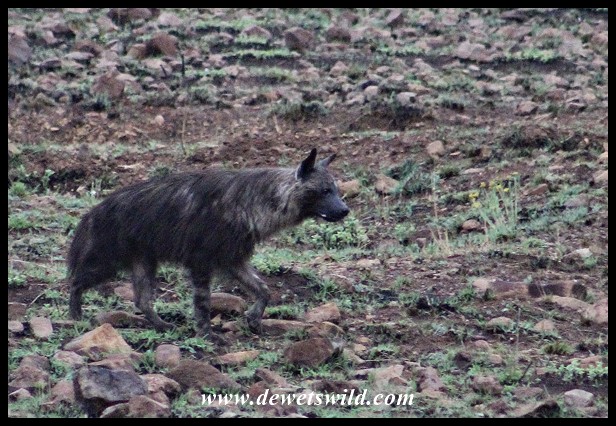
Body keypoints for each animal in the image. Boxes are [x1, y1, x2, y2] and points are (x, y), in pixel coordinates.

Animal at [67, 148, 349, 342]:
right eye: (324, 190)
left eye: (335, 190)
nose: (345, 210)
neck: (256, 205)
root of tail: (92, 213)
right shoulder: (201, 259)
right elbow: (203, 301)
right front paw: (207, 335)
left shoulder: (232, 257)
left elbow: (263, 289)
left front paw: (253, 320)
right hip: (107, 260)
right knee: (76, 281)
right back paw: (75, 317)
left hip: (144, 260)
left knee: (142, 300)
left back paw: (163, 326)